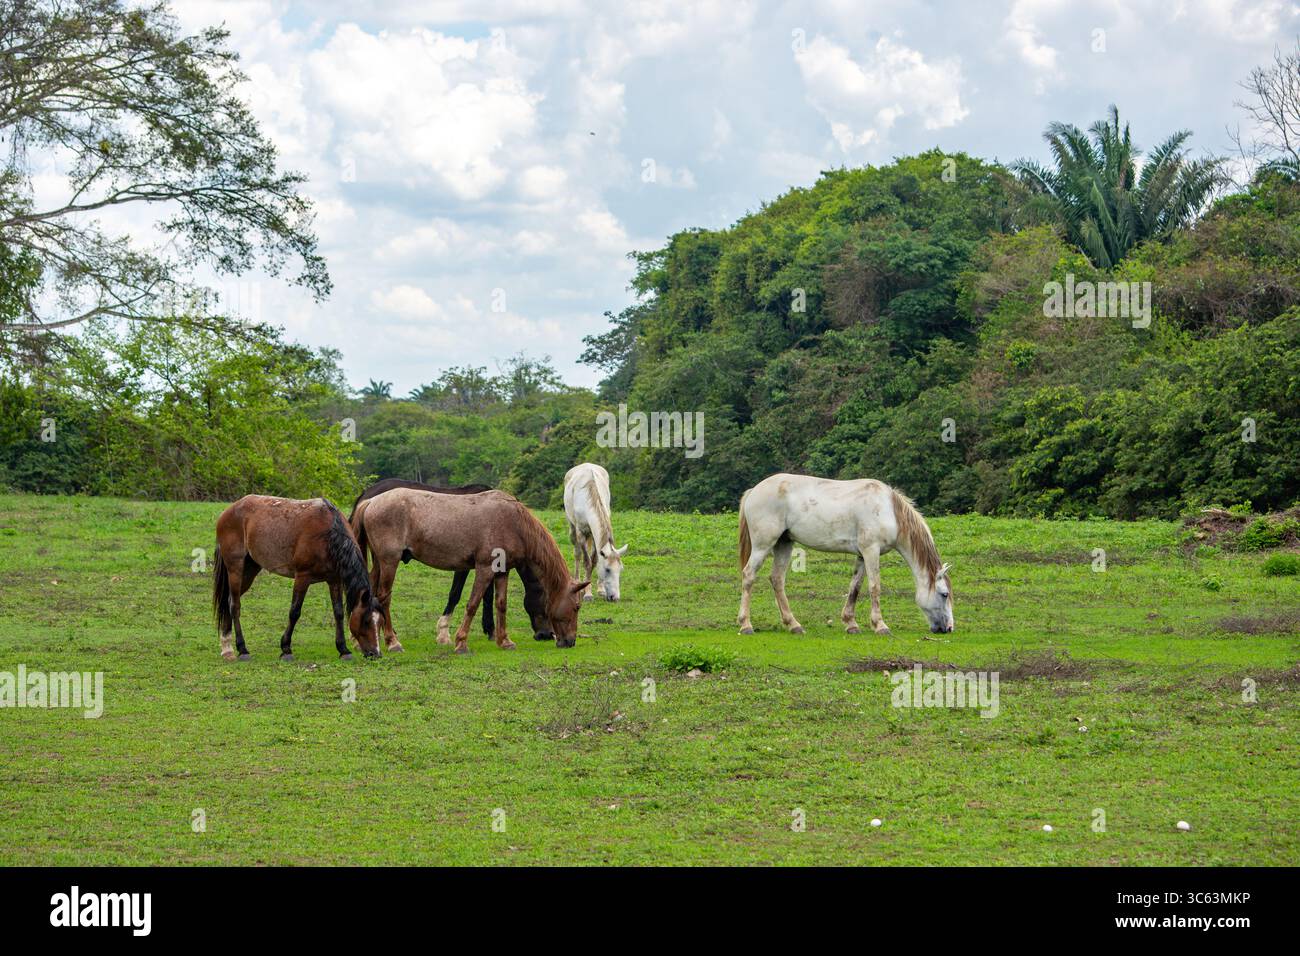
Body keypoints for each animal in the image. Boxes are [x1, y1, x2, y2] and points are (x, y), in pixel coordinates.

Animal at [212, 495, 384, 662]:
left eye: (380, 622)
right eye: (366, 621)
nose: (376, 654)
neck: (328, 535)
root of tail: (228, 511)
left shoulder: (334, 580)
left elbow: (338, 612)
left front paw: (343, 650)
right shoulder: (302, 577)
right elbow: (294, 612)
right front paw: (286, 649)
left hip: (249, 570)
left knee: (227, 601)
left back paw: (227, 649)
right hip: (235, 569)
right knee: (234, 605)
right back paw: (242, 649)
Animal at [353, 487, 587, 653]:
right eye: (576, 607)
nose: (569, 641)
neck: (514, 523)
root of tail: (371, 501)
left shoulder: (502, 571)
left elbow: (501, 604)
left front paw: (504, 641)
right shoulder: (484, 569)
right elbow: (473, 604)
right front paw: (461, 642)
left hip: (379, 564)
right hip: (389, 562)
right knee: (384, 598)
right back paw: (392, 642)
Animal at [563, 463, 627, 602]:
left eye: (620, 569)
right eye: (607, 570)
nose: (615, 597)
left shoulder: (594, 535)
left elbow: (594, 561)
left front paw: (600, 590)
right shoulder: (581, 533)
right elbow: (587, 562)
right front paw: (587, 594)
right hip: (572, 528)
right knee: (577, 554)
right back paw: (578, 583)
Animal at [737, 474, 954, 636]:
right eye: (944, 594)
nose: (949, 628)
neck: (888, 510)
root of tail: (754, 490)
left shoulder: (862, 555)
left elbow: (855, 587)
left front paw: (851, 624)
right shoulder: (871, 551)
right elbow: (875, 587)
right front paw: (880, 625)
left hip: (784, 544)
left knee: (777, 579)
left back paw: (794, 625)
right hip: (763, 545)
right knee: (748, 575)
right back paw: (746, 625)